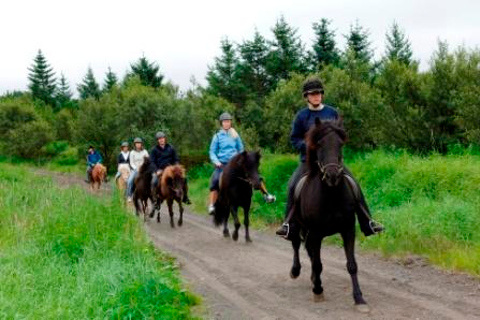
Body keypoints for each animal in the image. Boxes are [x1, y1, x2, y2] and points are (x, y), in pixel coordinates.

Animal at [288, 117, 372, 312]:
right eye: (319, 144)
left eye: (340, 144)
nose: (333, 176)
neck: (331, 196)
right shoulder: (316, 233)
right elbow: (318, 264)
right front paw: (318, 291)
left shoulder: (348, 229)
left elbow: (352, 265)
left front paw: (359, 298)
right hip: (297, 226)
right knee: (296, 244)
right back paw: (296, 271)